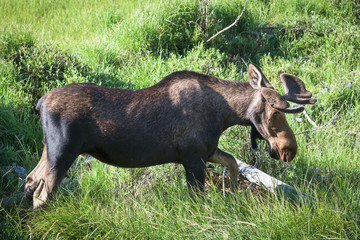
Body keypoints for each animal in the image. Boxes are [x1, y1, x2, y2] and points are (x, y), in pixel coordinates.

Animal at [24, 63, 316, 208]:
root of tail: (39, 103)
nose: (289, 149)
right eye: (276, 112)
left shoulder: (207, 151)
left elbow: (233, 163)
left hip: (49, 150)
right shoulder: (193, 158)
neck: (224, 114)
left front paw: (231, 193)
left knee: (30, 180)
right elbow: (199, 199)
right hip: (63, 151)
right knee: (42, 194)